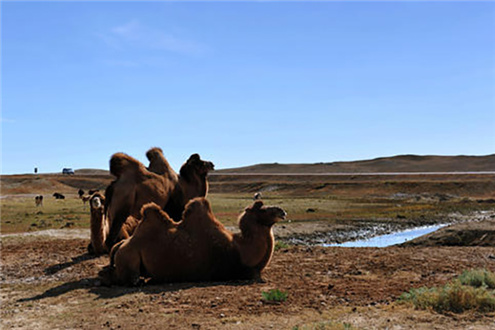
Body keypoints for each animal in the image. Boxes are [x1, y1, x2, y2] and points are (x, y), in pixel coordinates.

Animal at [99, 199, 286, 286]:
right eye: (262, 209)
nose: (282, 211)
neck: (243, 250)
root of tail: (119, 246)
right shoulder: (239, 271)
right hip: (129, 258)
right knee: (131, 279)